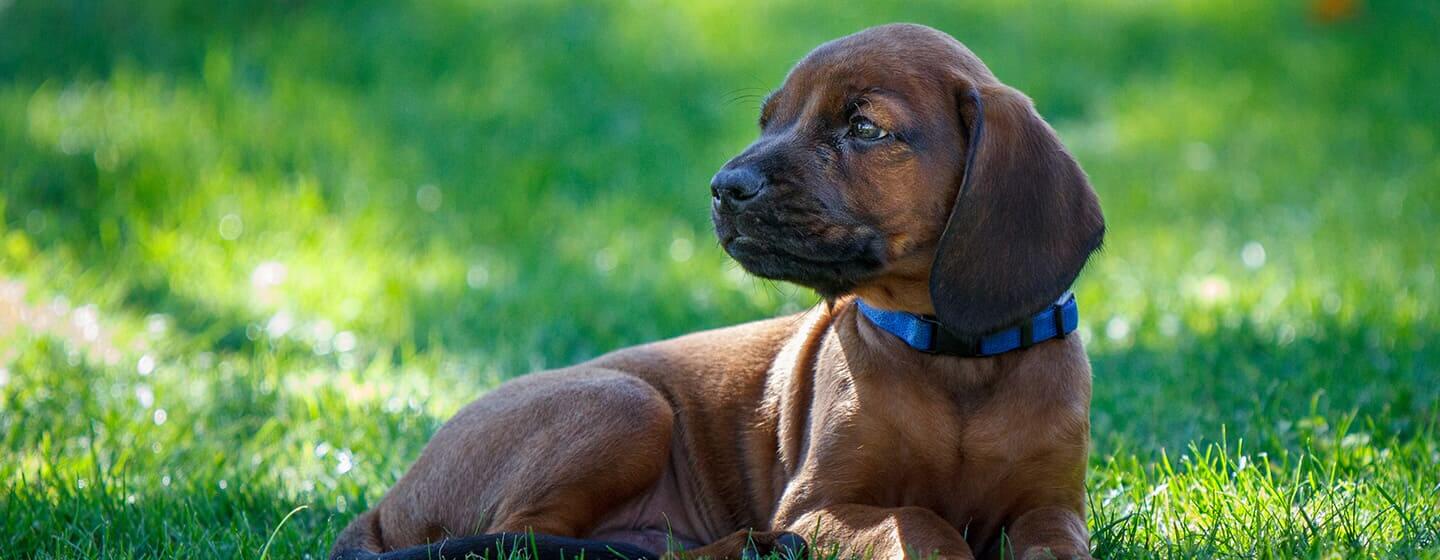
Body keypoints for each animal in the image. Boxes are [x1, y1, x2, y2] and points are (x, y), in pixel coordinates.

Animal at [334, 22, 1100, 558]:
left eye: (864, 127)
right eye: (768, 120)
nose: (725, 187)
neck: (954, 357)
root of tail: (385, 500)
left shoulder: (1052, 505)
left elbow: (1053, 544)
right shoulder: (815, 505)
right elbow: (919, 525)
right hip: (626, 404)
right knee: (530, 541)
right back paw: (752, 547)